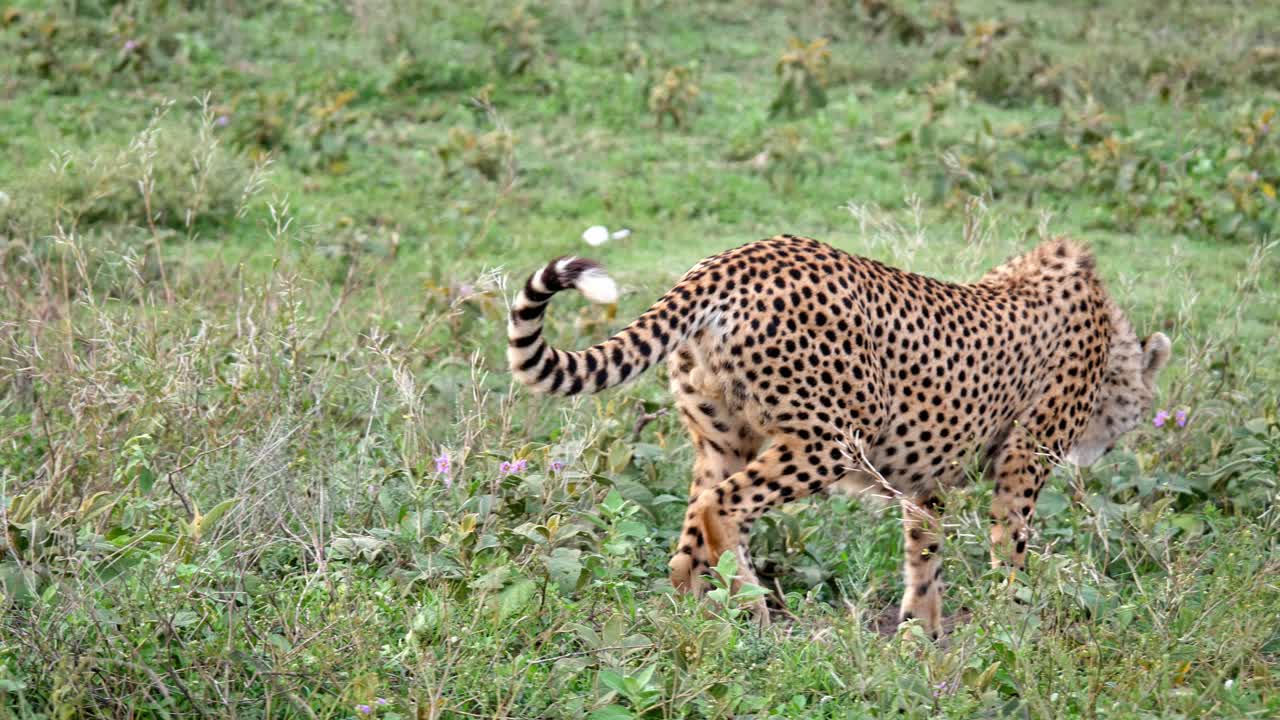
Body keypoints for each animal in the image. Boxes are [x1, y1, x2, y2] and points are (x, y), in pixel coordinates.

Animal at [506, 234, 1171, 637]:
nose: (1104, 449)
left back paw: (697, 616)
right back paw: (755, 615)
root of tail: (732, 258)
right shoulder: (1024, 460)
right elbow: (1010, 545)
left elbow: (924, 553)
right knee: (722, 511)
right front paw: (1010, 619)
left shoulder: (925, 476)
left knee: (688, 533)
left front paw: (922, 633)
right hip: (833, 438)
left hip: (724, 439)